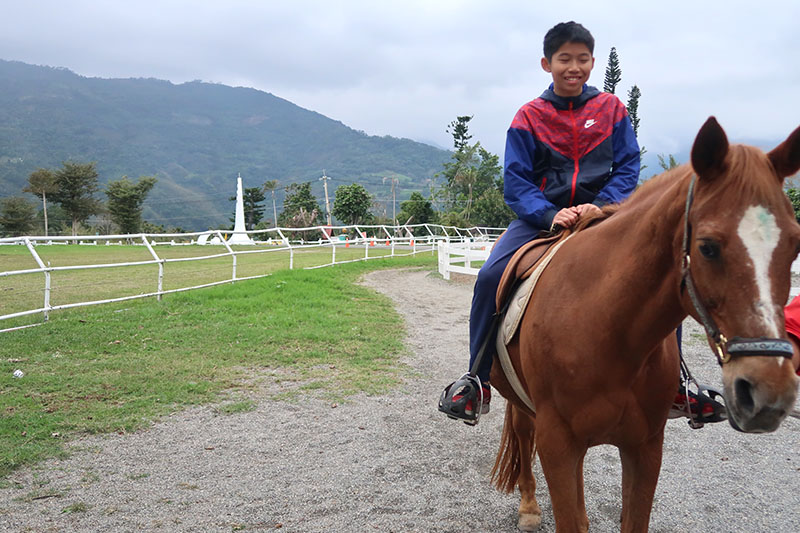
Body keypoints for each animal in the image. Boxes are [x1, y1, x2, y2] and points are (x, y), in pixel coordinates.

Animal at [488, 117, 800, 532]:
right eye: (707, 247)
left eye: (796, 245)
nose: (769, 392)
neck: (607, 330)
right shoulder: (558, 444)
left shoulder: (646, 446)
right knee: (523, 434)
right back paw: (529, 506)